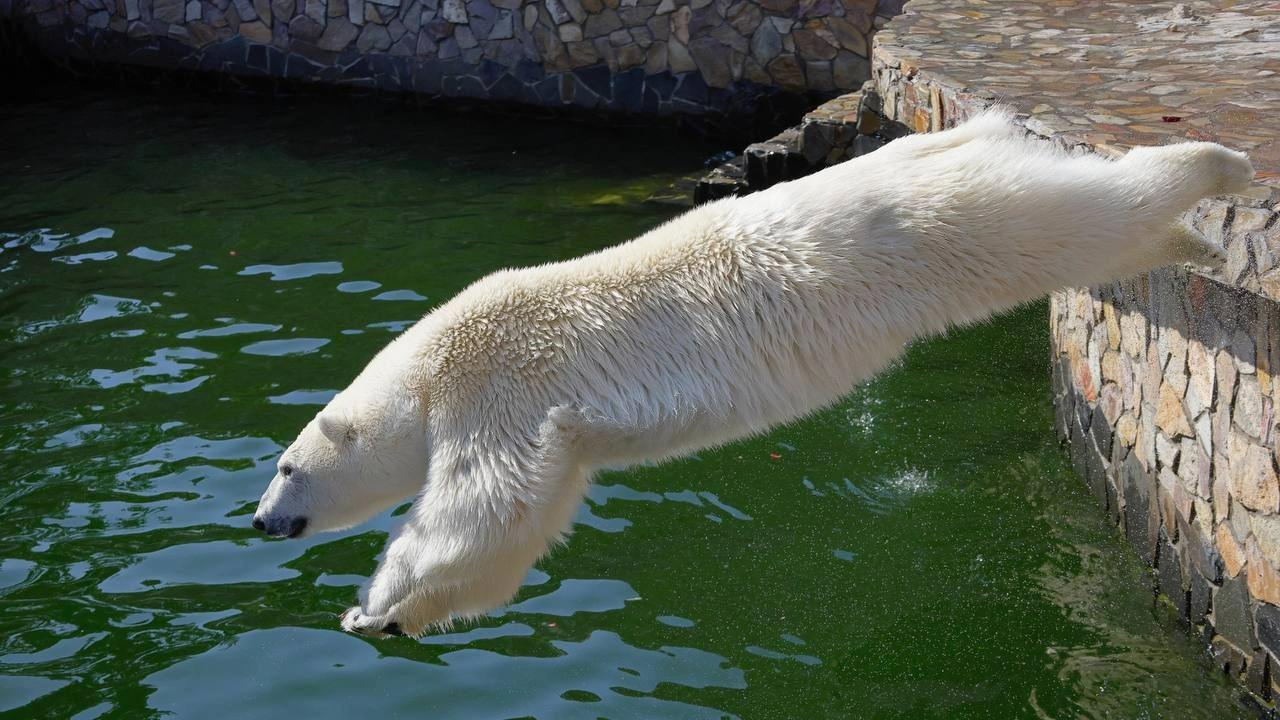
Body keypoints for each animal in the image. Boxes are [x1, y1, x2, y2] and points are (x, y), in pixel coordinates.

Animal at [247, 106, 1249, 632]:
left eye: (288, 467)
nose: (259, 521)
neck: (426, 370)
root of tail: (969, 130)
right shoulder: (554, 436)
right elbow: (523, 526)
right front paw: (399, 617)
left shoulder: (498, 385)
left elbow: (482, 509)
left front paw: (371, 604)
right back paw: (1194, 242)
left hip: (957, 221)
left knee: (1087, 210)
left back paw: (1218, 166)